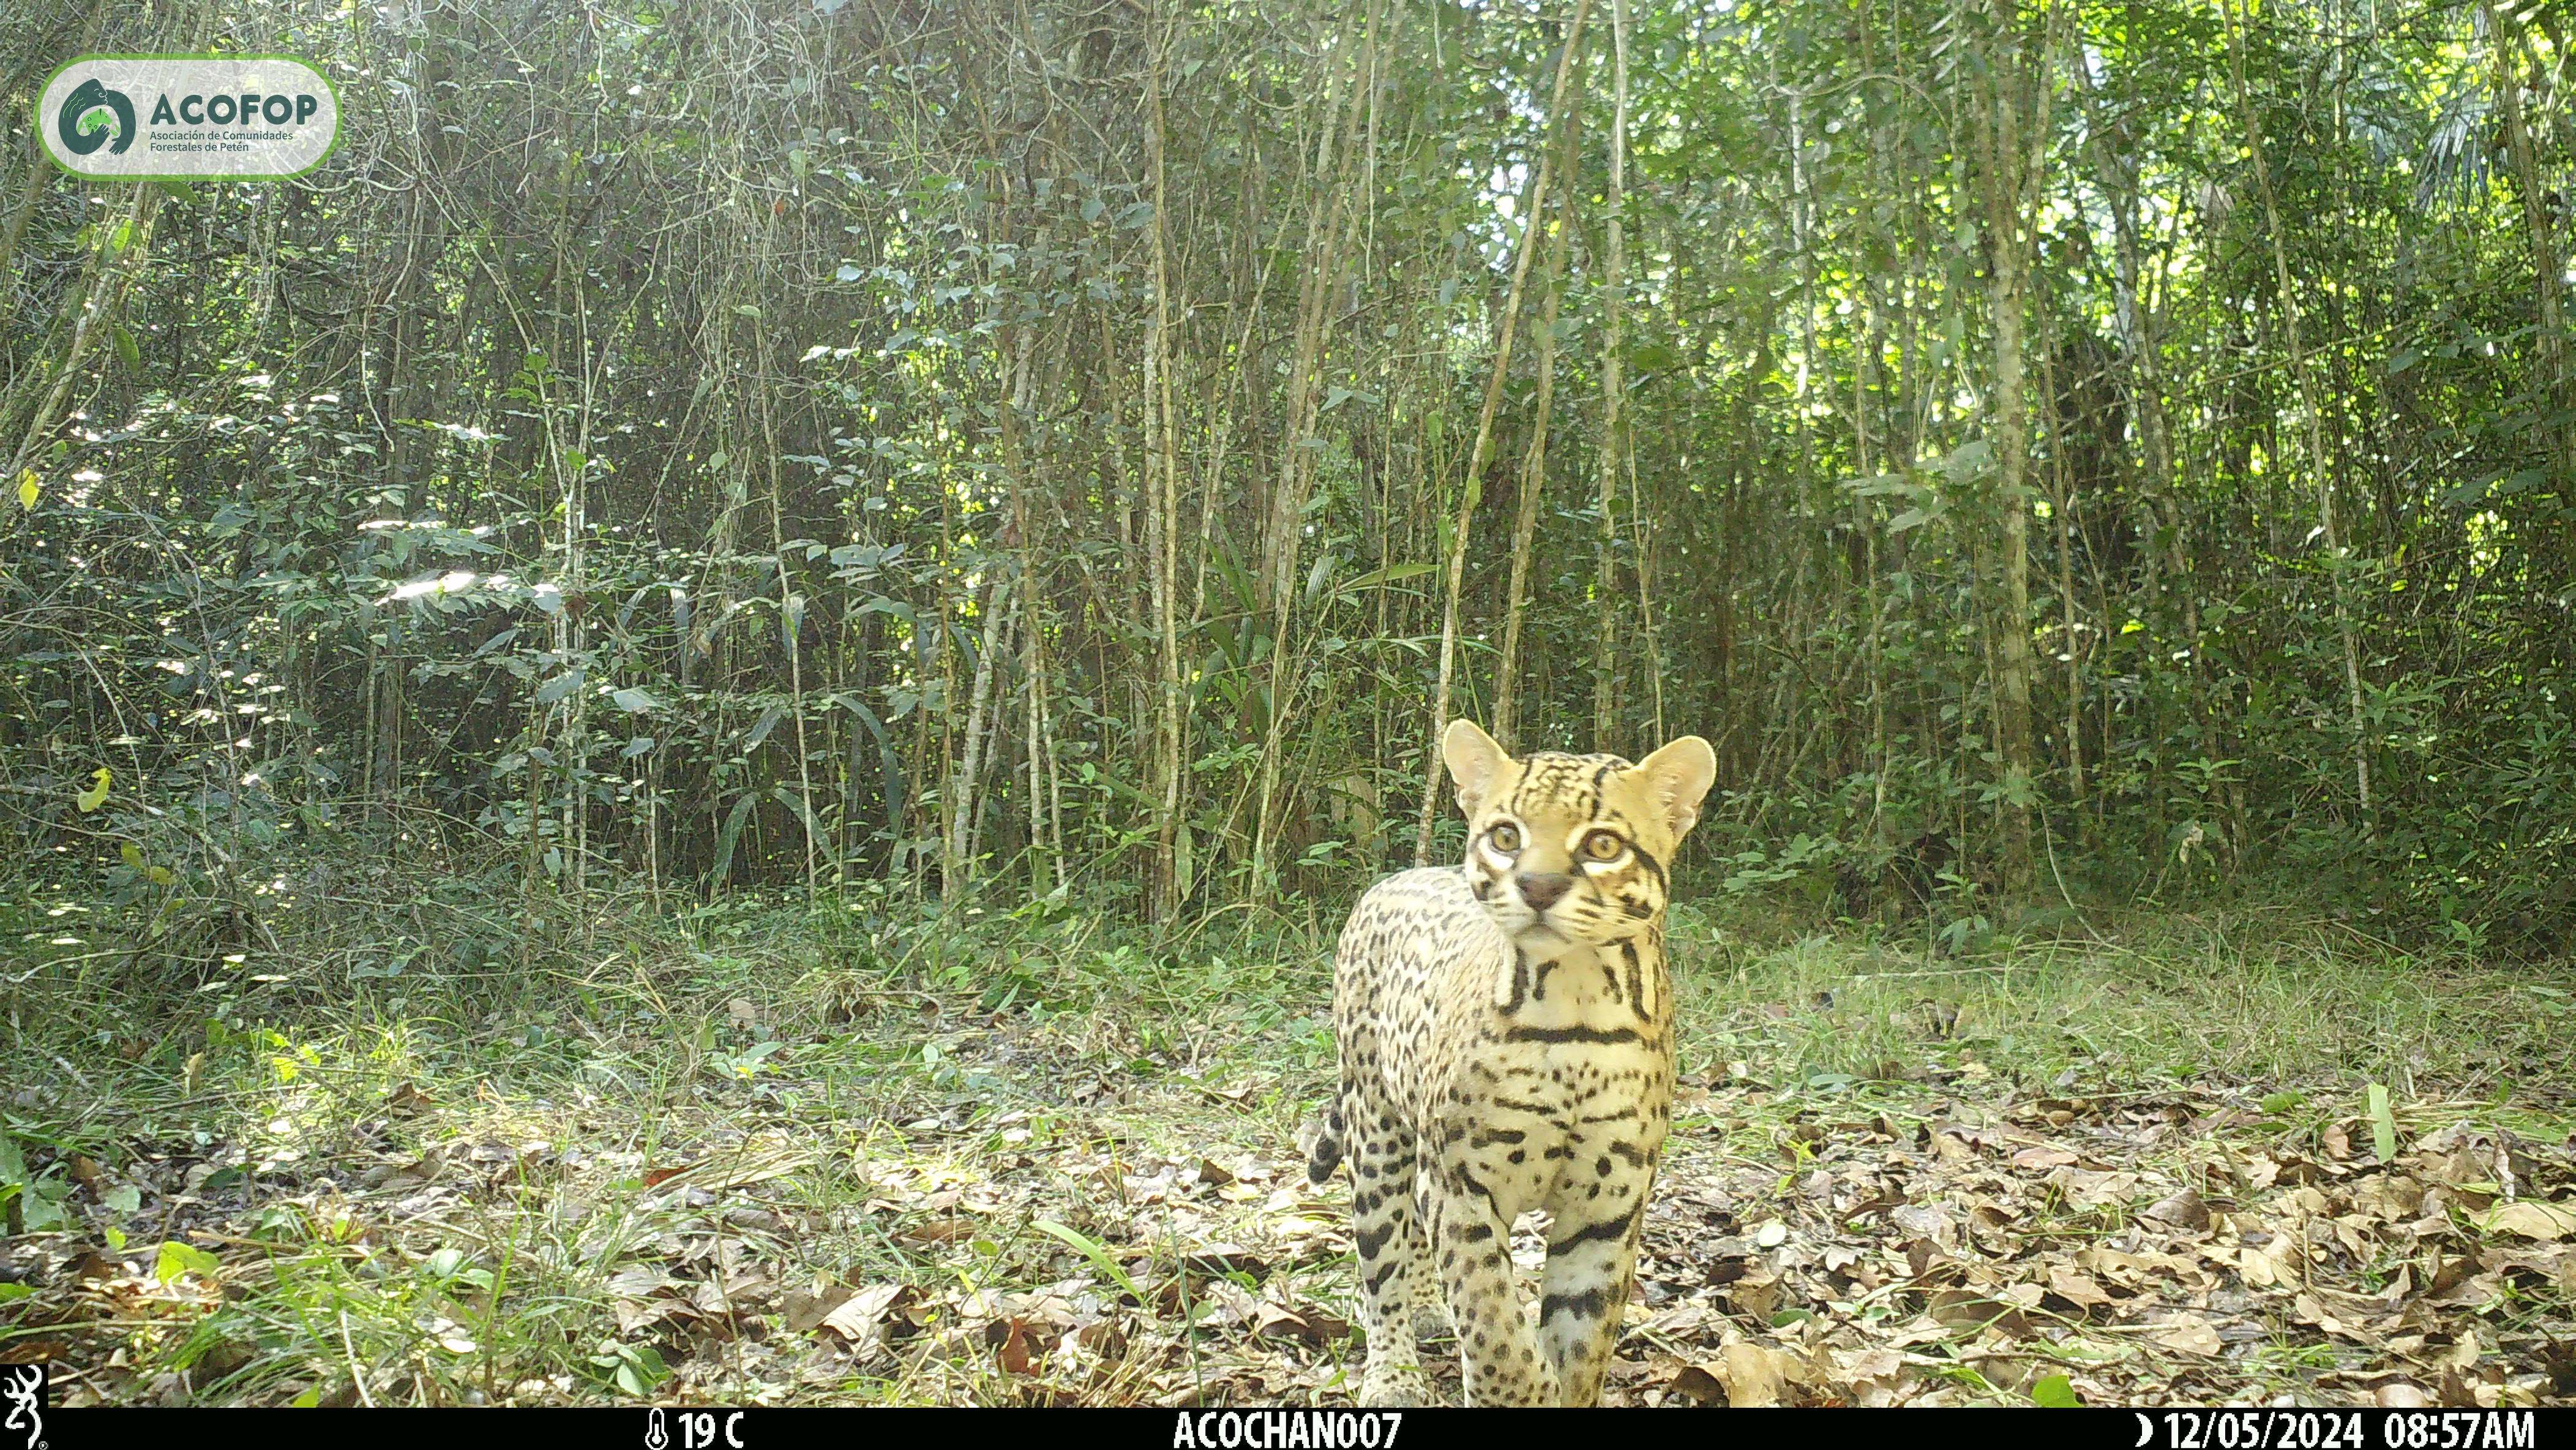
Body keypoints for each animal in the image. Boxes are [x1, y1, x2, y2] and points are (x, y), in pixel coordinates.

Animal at [1307, 718, 1717, 1406]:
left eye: (1602, 843)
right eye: (1505, 836)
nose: (1538, 886)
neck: (1574, 1004)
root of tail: (1393, 879)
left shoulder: (1609, 1204)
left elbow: (1583, 1338)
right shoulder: (1459, 1184)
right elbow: (1495, 1322)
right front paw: (1515, 1384)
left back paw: (1426, 1305)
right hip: (1376, 1128)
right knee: (1381, 1258)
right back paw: (1393, 1372)